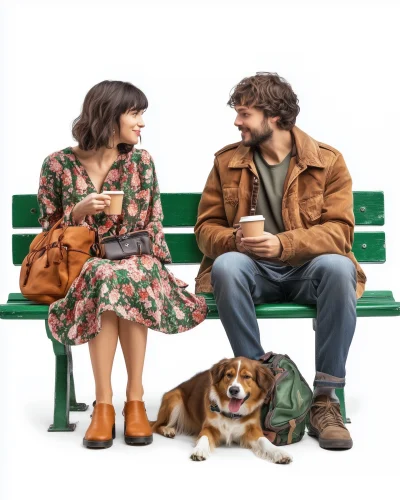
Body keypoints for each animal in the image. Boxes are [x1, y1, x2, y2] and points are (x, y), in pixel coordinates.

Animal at [152, 358, 292, 462]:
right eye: (229, 375)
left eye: (247, 376)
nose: (233, 390)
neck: (232, 415)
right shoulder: (208, 427)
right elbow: (204, 437)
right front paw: (199, 450)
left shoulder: (252, 430)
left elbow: (264, 441)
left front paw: (278, 452)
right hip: (174, 399)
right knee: (156, 425)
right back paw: (167, 430)